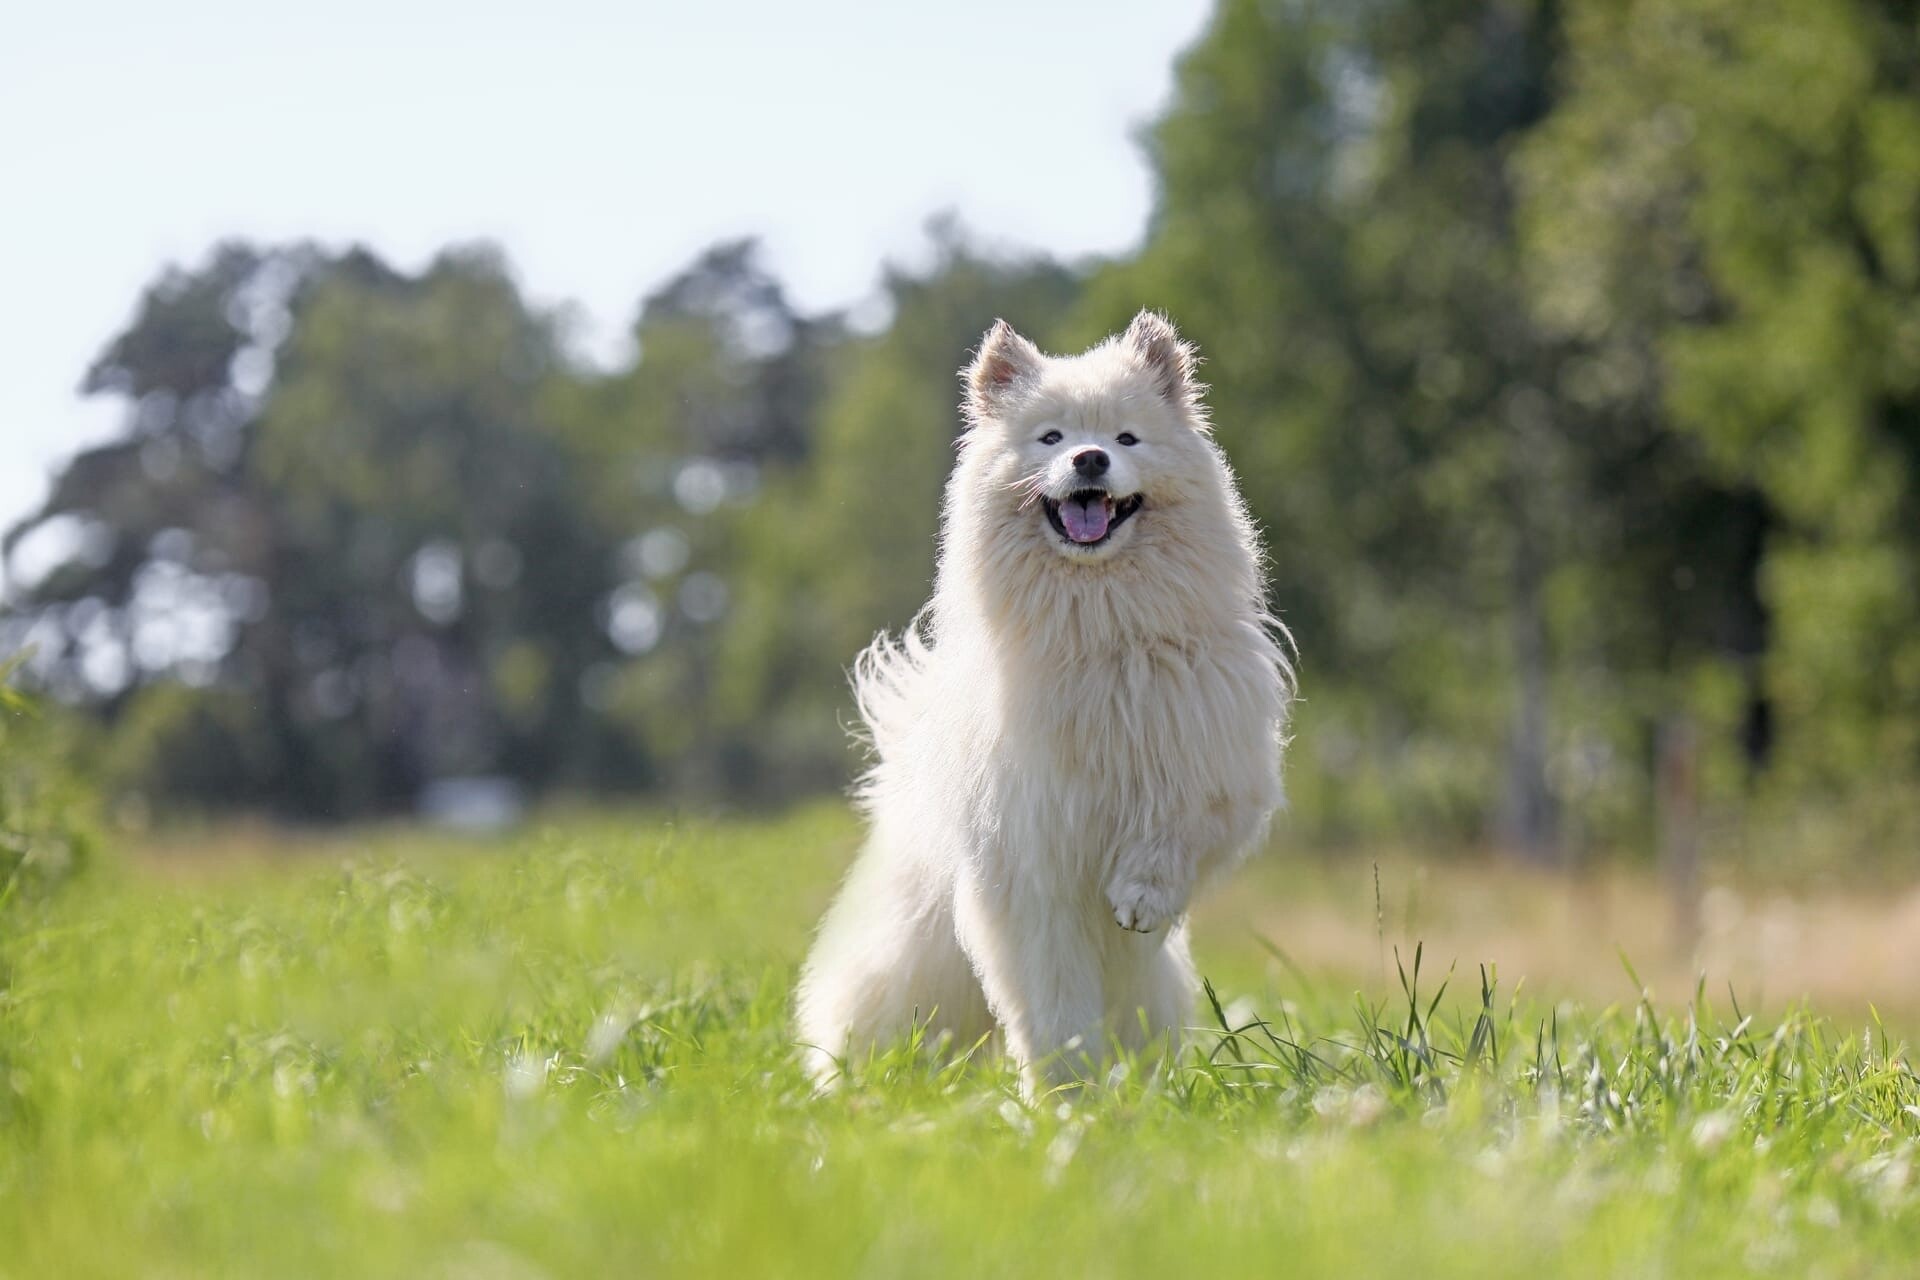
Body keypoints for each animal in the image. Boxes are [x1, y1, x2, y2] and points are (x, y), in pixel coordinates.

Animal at [794, 312, 1290, 1090]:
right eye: (1051, 438)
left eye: (1126, 437)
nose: (1089, 459)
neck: (1103, 634)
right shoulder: (1031, 873)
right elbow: (1054, 1003)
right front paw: (1067, 1089)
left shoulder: (1213, 766)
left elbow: (1177, 830)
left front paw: (1141, 898)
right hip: (912, 969)